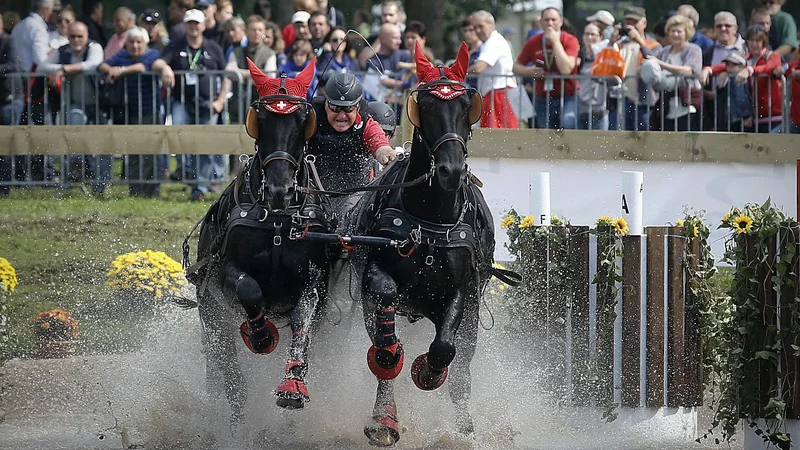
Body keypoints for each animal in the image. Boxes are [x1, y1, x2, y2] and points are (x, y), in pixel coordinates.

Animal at [184, 59, 328, 428]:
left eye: (302, 120)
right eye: (259, 119)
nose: (280, 190)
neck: (277, 218)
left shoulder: (315, 277)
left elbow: (303, 317)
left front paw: (293, 385)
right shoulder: (226, 273)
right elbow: (249, 289)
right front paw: (261, 334)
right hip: (211, 309)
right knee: (228, 372)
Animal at [342, 43, 500, 446]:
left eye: (466, 106)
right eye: (424, 106)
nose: (450, 171)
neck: (431, 218)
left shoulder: (463, 292)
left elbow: (444, 350)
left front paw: (428, 372)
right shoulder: (374, 279)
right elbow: (385, 349)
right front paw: (384, 419)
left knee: (461, 372)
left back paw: (465, 428)